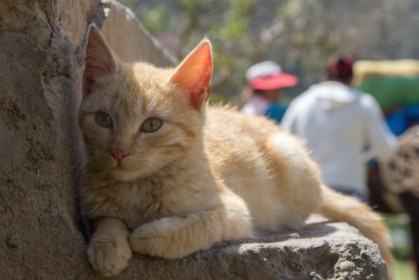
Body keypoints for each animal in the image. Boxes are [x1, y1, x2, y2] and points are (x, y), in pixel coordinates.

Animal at [80, 25, 396, 278]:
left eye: (152, 124)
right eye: (103, 119)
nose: (118, 152)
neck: (138, 189)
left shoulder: (234, 213)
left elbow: (193, 227)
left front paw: (146, 235)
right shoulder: (94, 204)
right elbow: (107, 218)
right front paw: (108, 244)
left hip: (289, 157)